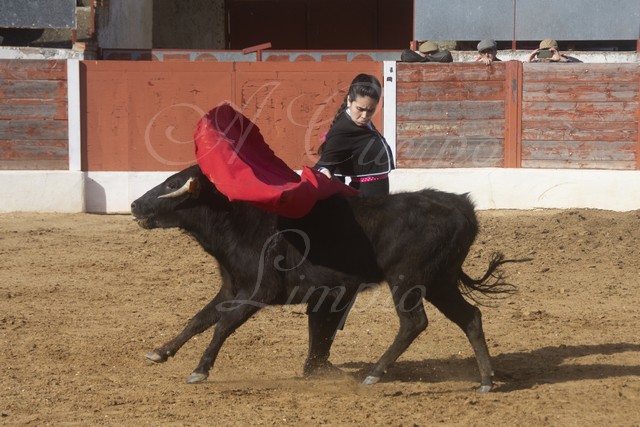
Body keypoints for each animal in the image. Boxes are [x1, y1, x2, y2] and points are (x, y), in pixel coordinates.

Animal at [131, 164, 518, 393]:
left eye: (172, 183)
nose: (135, 205)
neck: (240, 222)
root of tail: (462, 207)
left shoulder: (259, 291)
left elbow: (223, 325)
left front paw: (200, 369)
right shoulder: (231, 288)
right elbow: (199, 319)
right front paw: (160, 352)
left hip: (407, 281)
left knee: (413, 323)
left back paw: (374, 374)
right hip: (439, 281)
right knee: (470, 317)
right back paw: (486, 380)